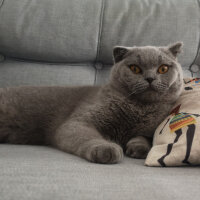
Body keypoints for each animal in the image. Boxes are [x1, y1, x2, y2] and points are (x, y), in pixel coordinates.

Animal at [0, 42, 183, 164]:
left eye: (163, 68)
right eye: (135, 68)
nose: (150, 78)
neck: (139, 109)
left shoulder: (149, 129)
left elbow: (144, 137)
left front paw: (138, 148)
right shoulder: (78, 122)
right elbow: (88, 136)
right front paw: (107, 149)